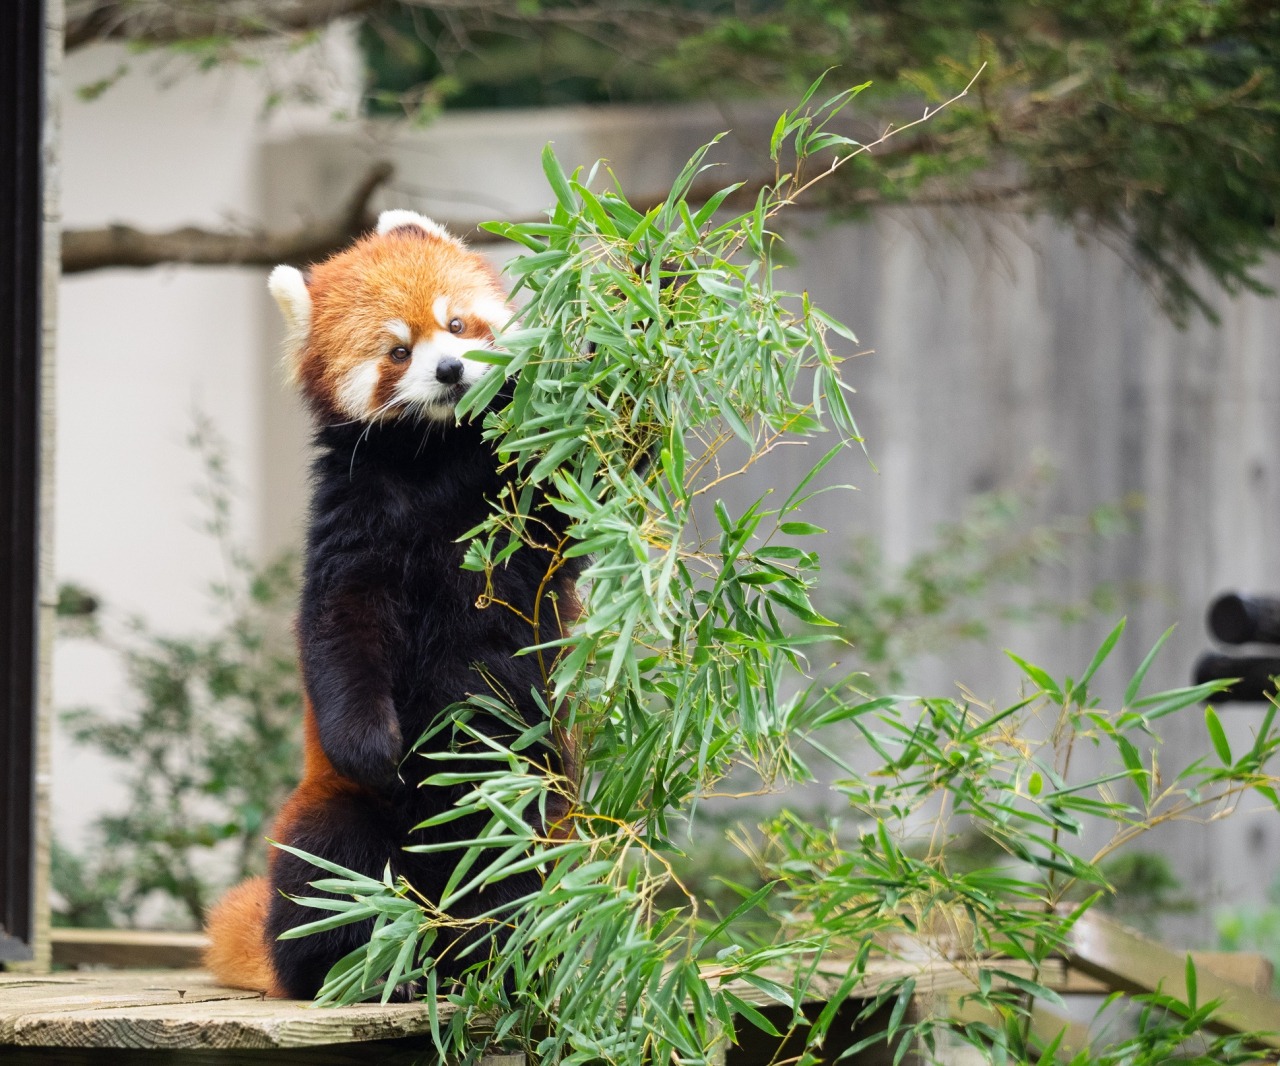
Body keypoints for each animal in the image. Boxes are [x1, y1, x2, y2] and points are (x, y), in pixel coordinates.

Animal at [202, 207, 583, 998]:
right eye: (398, 351)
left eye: (459, 323)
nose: (449, 370)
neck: (435, 457)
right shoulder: (354, 521)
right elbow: (339, 632)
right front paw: (377, 745)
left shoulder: (521, 499)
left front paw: (657, 293)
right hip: (331, 815)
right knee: (330, 870)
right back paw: (359, 970)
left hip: (523, 808)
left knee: (506, 875)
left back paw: (495, 965)